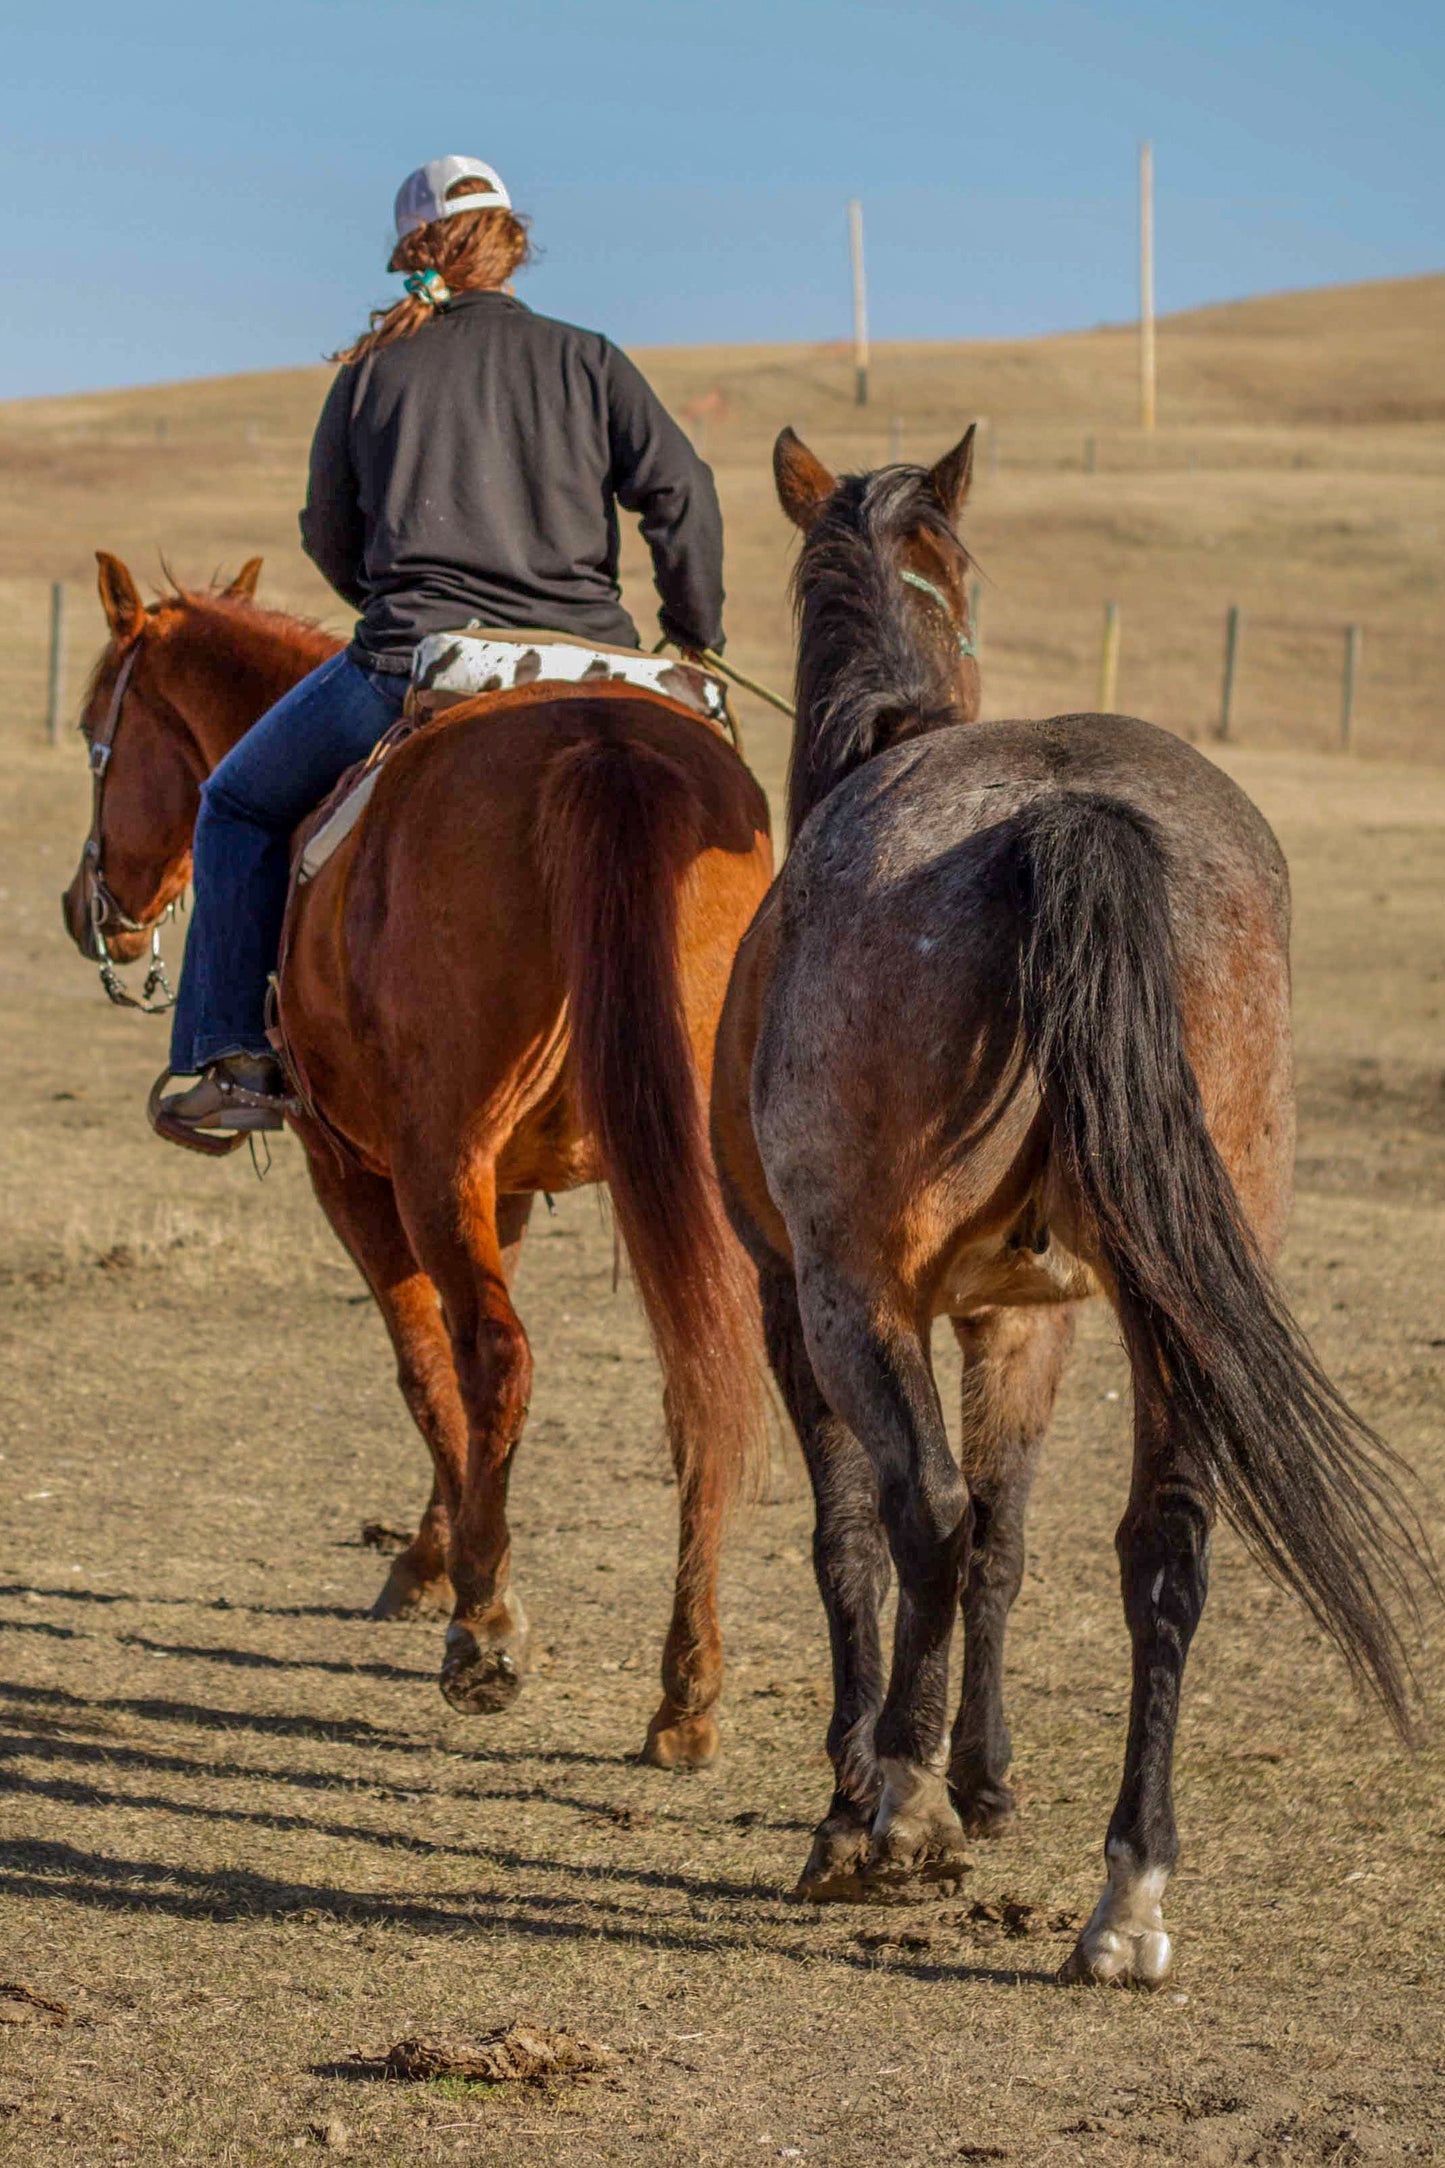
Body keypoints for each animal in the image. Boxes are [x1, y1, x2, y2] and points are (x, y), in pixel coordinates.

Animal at [64, 550, 779, 1769]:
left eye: (90, 731)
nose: (85, 910)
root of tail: (602, 742)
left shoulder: (356, 1167)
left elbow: (425, 1360)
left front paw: (434, 1570)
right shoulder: (509, 1183)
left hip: (434, 1160)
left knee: (498, 1354)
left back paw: (485, 1637)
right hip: (679, 1167)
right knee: (702, 1373)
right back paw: (687, 1688)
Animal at [706, 422, 1429, 1985]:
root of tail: (1065, 810)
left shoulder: (800, 1302)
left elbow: (870, 1535)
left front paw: (879, 1778)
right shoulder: (1026, 1318)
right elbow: (1009, 1535)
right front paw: (984, 1777)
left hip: (854, 1295)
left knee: (920, 1512)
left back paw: (887, 1815)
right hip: (1175, 1304)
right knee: (1163, 1544)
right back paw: (1128, 1890)